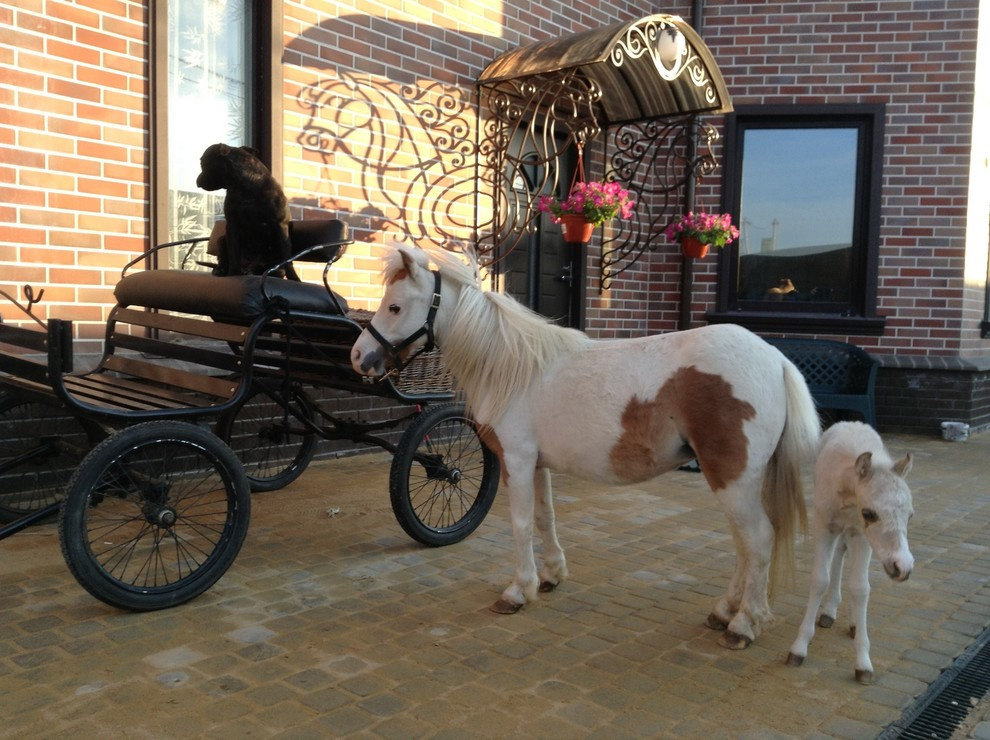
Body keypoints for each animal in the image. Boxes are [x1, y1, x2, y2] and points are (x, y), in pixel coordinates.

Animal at [350, 246, 821, 648]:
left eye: (394, 307)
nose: (359, 356)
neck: (514, 367)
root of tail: (775, 359)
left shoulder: (516, 460)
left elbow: (520, 524)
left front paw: (518, 591)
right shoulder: (537, 464)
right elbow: (544, 519)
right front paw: (550, 576)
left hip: (732, 477)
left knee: (757, 540)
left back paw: (743, 623)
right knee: (745, 544)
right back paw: (725, 611)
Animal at [786, 421, 914, 683]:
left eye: (910, 515)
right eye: (870, 513)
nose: (903, 567)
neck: (847, 492)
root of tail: (851, 422)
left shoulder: (860, 535)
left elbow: (860, 588)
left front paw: (863, 663)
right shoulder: (823, 525)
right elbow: (820, 580)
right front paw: (799, 647)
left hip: (854, 535)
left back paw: (852, 620)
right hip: (836, 529)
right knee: (837, 556)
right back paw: (828, 611)